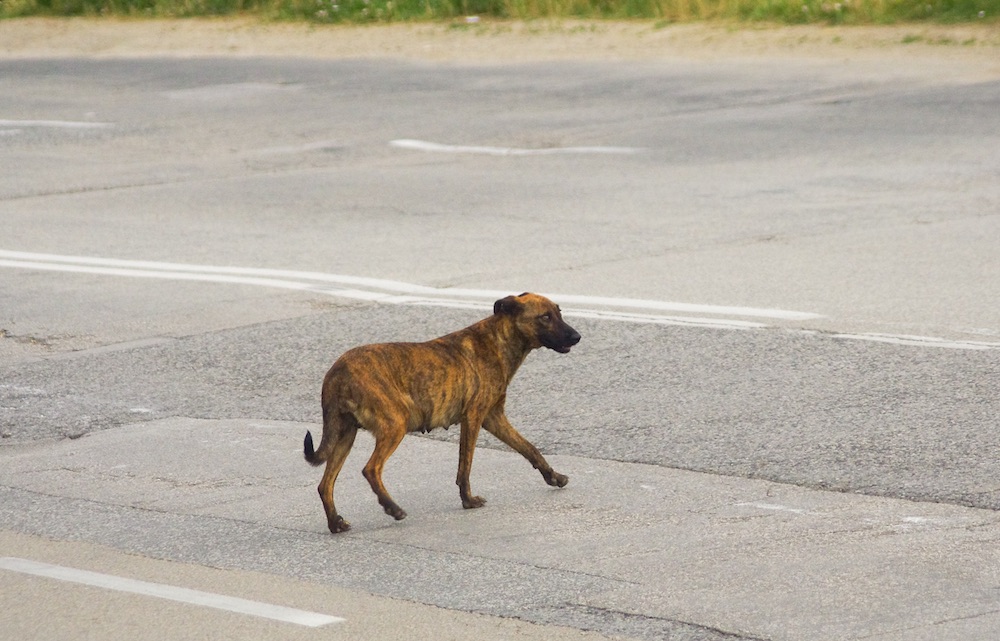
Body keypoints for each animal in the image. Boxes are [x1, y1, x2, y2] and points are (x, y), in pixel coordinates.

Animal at [302, 292, 580, 532]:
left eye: (559, 312)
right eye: (545, 317)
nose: (577, 337)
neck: (498, 340)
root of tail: (336, 373)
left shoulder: (494, 418)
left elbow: (530, 449)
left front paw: (553, 476)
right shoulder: (474, 418)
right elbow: (465, 466)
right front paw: (468, 500)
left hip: (345, 435)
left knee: (325, 485)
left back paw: (336, 523)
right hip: (395, 425)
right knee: (370, 469)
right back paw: (392, 508)